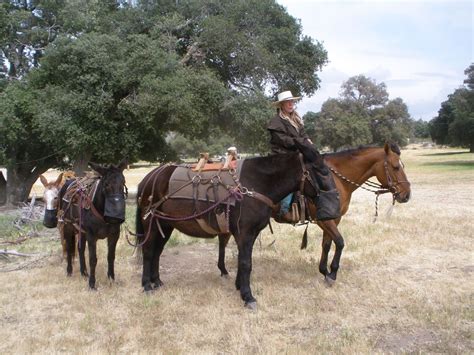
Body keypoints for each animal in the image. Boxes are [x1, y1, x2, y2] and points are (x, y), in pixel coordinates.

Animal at [57, 160, 128, 290]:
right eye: (106, 184)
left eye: (123, 182)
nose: (115, 217)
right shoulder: (91, 235)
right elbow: (93, 259)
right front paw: (92, 284)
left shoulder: (114, 235)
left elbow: (111, 256)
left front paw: (111, 279)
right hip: (68, 227)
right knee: (69, 248)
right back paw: (69, 271)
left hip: (81, 231)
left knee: (80, 249)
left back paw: (84, 272)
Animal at [135, 143, 324, 310]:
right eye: (319, 169)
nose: (327, 194)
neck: (256, 183)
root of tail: (148, 179)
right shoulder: (244, 233)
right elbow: (246, 263)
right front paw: (248, 297)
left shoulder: (250, 234)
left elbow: (242, 260)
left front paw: (239, 287)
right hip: (150, 223)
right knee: (149, 252)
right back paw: (146, 285)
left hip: (165, 225)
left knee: (157, 252)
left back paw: (157, 281)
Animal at [216, 143, 412, 286]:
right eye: (396, 167)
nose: (406, 195)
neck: (336, 180)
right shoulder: (324, 220)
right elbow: (340, 242)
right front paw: (332, 273)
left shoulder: (333, 219)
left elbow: (327, 244)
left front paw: (324, 271)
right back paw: (224, 271)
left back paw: (224, 270)